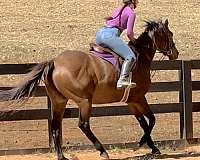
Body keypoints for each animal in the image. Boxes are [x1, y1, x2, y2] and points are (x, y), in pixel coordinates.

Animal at [0, 19, 178, 159]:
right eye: (170, 34)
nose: (175, 53)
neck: (140, 58)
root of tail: (54, 62)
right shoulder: (139, 98)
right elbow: (151, 120)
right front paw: (142, 143)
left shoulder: (131, 101)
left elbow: (143, 122)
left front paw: (153, 147)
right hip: (85, 101)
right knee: (83, 124)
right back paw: (103, 151)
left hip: (59, 101)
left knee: (56, 126)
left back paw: (61, 156)